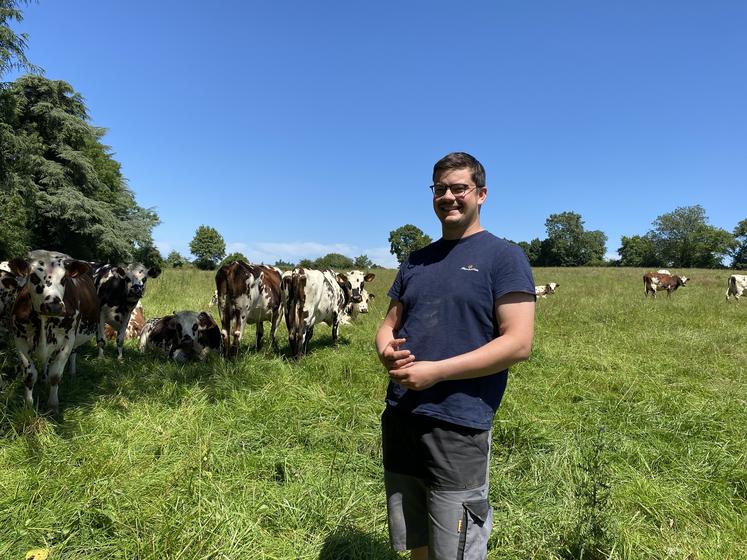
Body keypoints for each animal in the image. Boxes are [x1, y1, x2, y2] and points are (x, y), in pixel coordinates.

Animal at [6, 249, 99, 412]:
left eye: (64, 279)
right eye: (33, 277)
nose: (54, 306)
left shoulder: (69, 338)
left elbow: (55, 375)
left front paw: (52, 405)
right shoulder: (19, 338)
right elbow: (30, 374)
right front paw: (28, 405)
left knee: (73, 354)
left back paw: (72, 373)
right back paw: (44, 377)